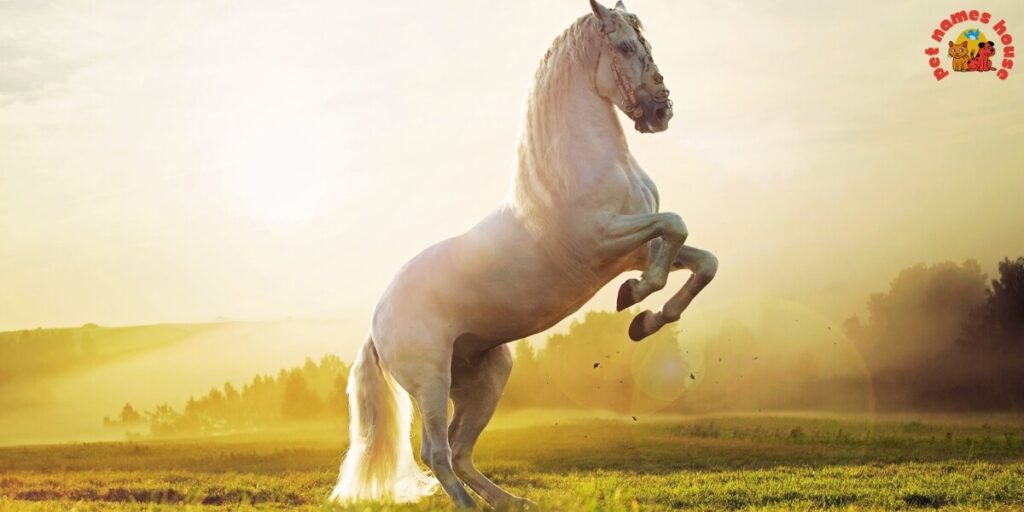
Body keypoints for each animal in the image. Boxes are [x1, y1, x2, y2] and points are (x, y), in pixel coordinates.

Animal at [330, 1, 718, 508]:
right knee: (436, 452)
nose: (660, 111)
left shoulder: (635, 249)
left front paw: (646, 320)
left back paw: (514, 502)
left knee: (460, 451)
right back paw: (473, 505)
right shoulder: (604, 241)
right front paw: (634, 299)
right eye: (626, 47)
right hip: (431, 382)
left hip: (487, 377)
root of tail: (378, 321)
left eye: (645, 43)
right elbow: (674, 226)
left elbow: (701, 259)